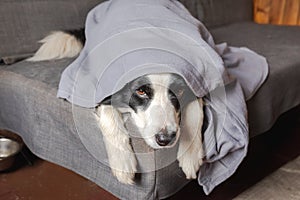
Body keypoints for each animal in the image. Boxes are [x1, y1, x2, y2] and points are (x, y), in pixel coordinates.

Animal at [28, 28, 204, 185]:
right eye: (141, 91)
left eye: (179, 91)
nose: (165, 139)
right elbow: (109, 113)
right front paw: (122, 163)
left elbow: (196, 110)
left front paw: (190, 156)